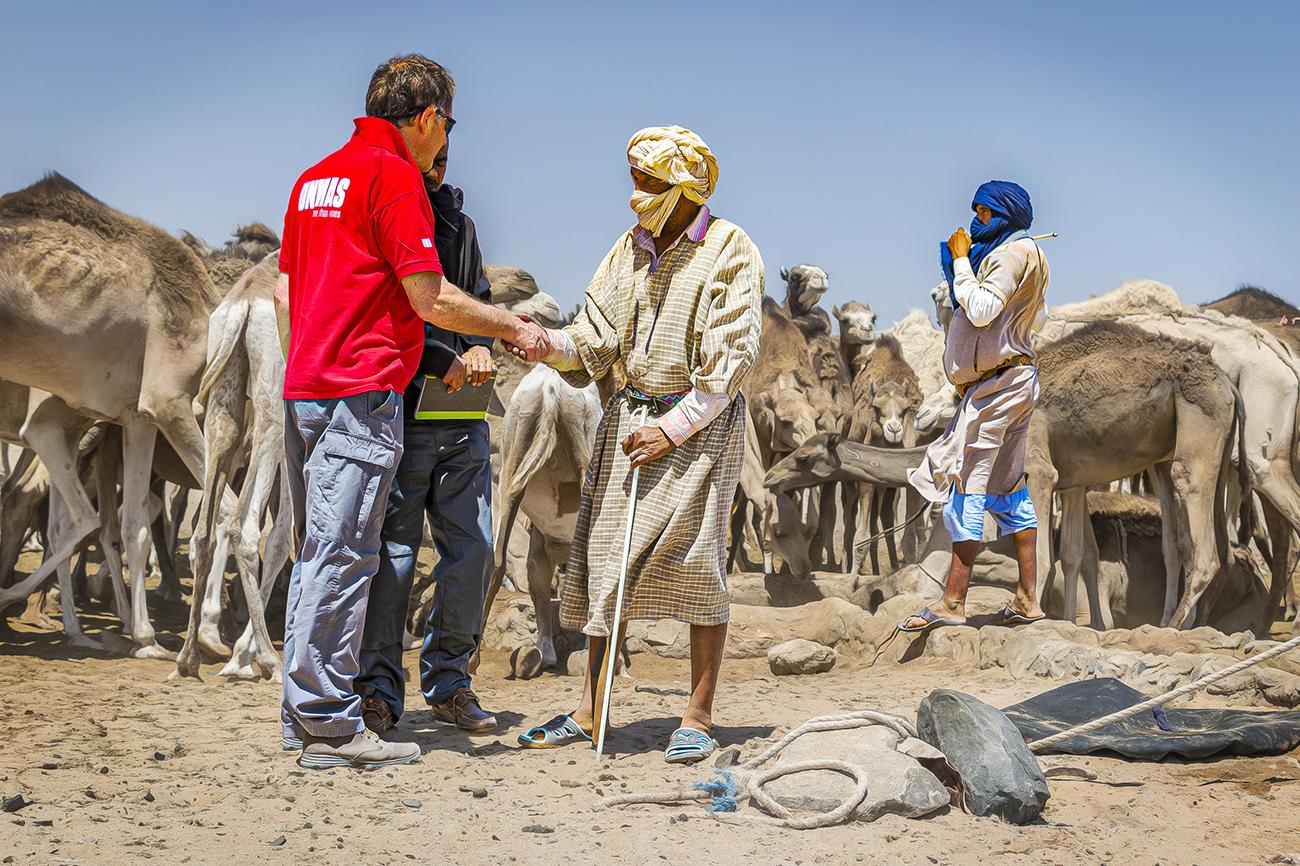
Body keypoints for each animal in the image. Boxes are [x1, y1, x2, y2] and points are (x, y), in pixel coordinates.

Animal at [767, 322, 1246, 631]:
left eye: (805, 458)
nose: (772, 478)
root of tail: (1228, 384)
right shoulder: (1071, 478)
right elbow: (1075, 553)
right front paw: (1074, 622)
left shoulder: (1038, 470)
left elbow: (1046, 554)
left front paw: (1037, 620)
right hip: (1185, 449)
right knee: (1183, 540)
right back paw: (1176, 621)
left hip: (1198, 431)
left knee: (1200, 532)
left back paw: (1175, 626)